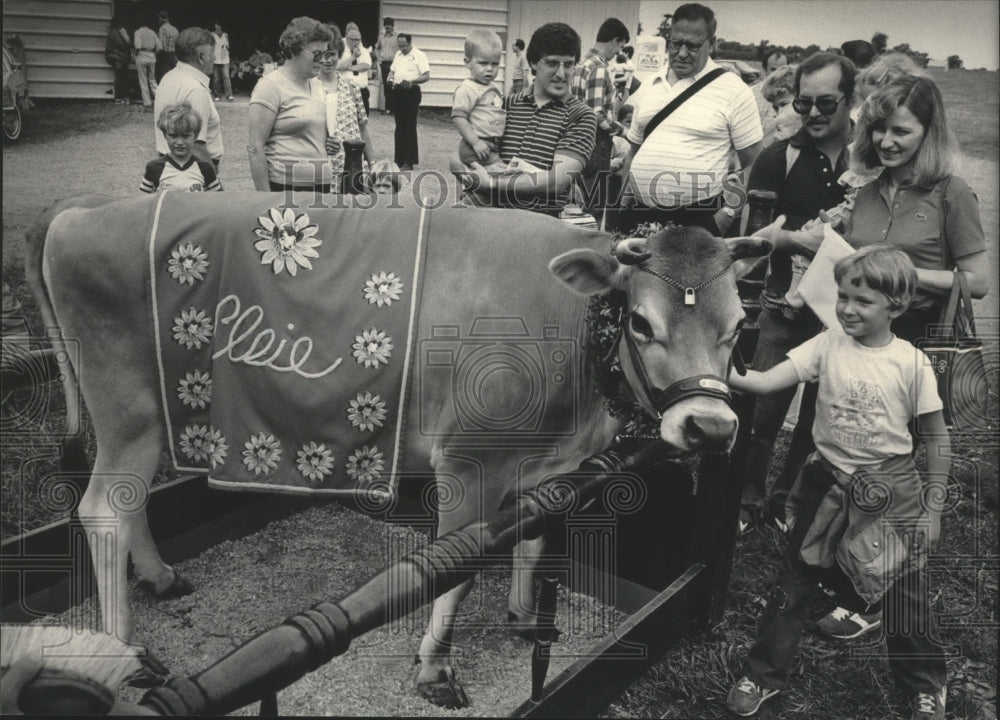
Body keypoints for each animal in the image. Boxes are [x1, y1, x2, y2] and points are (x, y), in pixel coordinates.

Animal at [27, 191, 768, 708]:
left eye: (738, 327)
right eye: (641, 322)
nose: (710, 428)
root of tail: (79, 211)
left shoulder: (546, 466)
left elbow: (530, 541)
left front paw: (524, 617)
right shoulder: (471, 462)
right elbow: (457, 570)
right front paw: (434, 670)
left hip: (156, 414)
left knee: (129, 504)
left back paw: (158, 576)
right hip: (127, 407)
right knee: (102, 508)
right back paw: (122, 651)